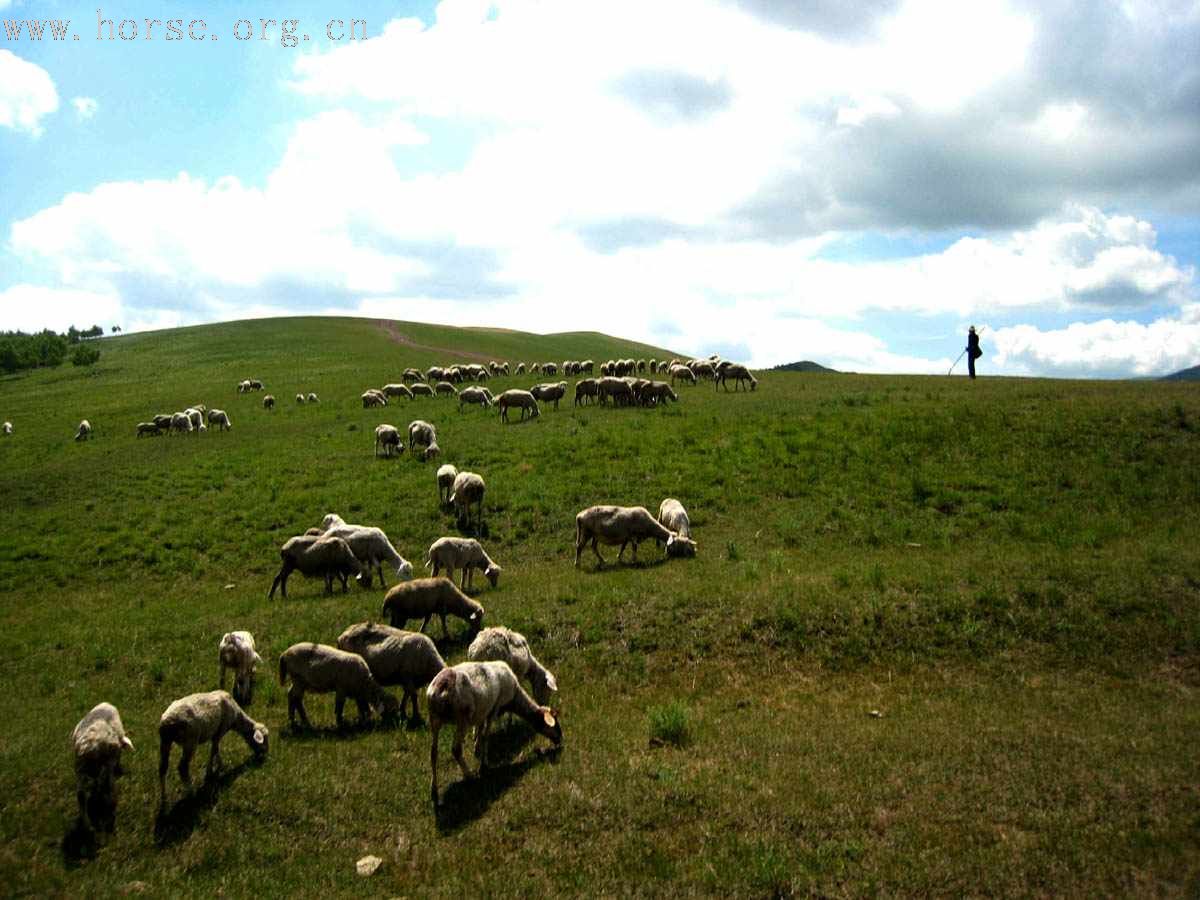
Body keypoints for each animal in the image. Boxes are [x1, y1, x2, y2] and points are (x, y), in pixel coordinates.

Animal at [70, 705, 133, 840]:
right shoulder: (111, 759)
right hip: (103, 763)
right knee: (108, 786)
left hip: (79, 768)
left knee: (80, 794)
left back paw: (87, 825)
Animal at [429, 662, 564, 811]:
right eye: (555, 725)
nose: (560, 740)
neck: (514, 699)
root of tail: (441, 686)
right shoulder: (494, 709)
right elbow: (486, 736)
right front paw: (483, 766)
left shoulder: (483, 711)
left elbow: (480, 731)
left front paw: (477, 749)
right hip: (461, 718)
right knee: (456, 749)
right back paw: (470, 776)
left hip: (434, 719)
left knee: (433, 752)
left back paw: (434, 793)